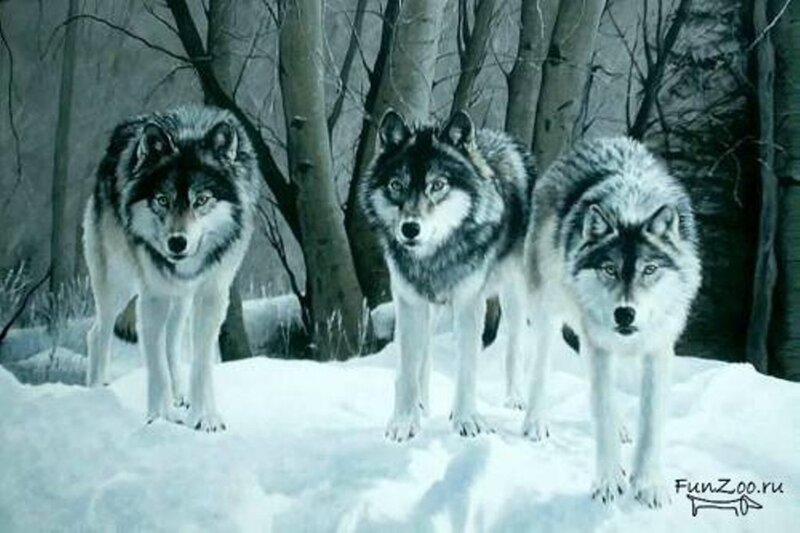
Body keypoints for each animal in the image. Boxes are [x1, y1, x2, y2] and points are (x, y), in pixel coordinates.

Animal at [83, 105, 260, 431]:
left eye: (201, 200)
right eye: (162, 200)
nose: (177, 243)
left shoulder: (212, 294)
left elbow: (201, 363)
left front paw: (206, 417)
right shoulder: (153, 295)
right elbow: (156, 368)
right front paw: (160, 419)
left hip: (181, 300)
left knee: (172, 342)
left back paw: (181, 395)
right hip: (119, 286)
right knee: (97, 332)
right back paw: (97, 390)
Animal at [360, 109, 536, 441]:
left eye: (438, 185)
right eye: (396, 185)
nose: (410, 229)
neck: (433, 259)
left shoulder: (469, 304)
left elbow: (467, 367)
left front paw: (467, 421)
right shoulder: (409, 302)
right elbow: (407, 366)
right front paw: (405, 422)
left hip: (513, 296)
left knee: (515, 345)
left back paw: (515, 399)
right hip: (432, 310)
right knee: (425, 354)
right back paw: (423, 404)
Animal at [523, 137, 701, 506]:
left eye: (650, 269)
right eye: (609, 269)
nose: (624, 313)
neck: (629, 207)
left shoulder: (657, 350)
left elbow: (651, 424)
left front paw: (648, 486)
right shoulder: (600, 346)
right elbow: (602, 411)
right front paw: (608, 484)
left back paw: (622, 429)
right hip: (548, 312)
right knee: (541, 368)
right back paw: (535, 422)